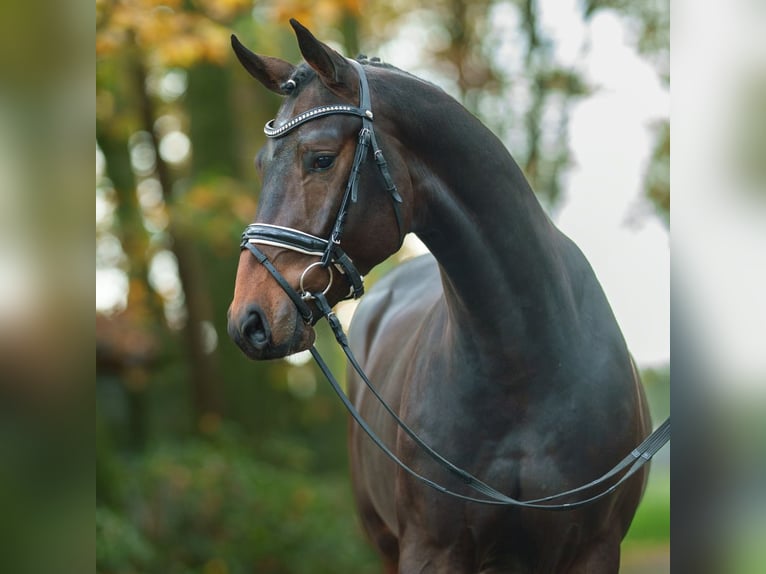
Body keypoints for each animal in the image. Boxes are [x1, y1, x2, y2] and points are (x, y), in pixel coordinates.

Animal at [228, 20, 656, 572]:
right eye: (262, 164)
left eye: (320, 159)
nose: (249, 321)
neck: (526, 365)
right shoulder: (430, 549)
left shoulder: (593, 550)